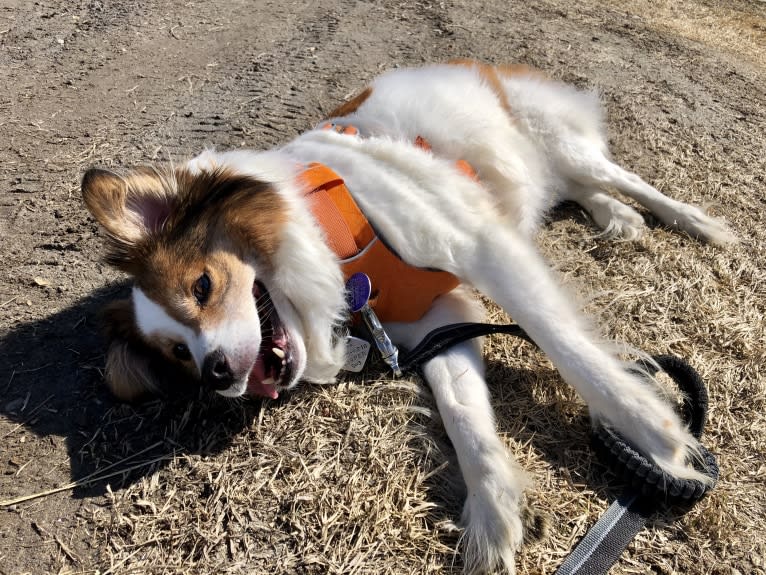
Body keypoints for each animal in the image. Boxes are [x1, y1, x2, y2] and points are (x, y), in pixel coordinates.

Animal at [81, 60, 736, 572]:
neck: (327, 233)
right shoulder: (438, 320)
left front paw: (654, 432)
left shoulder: (479, 247)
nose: (216, 373)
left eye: (203, 285)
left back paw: (696, 223)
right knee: (571, 187)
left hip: (559, 140)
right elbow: (463, 411)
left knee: (621, 179)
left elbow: (567, 347)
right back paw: (613, 216)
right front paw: (493, 512)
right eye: (178, 355)